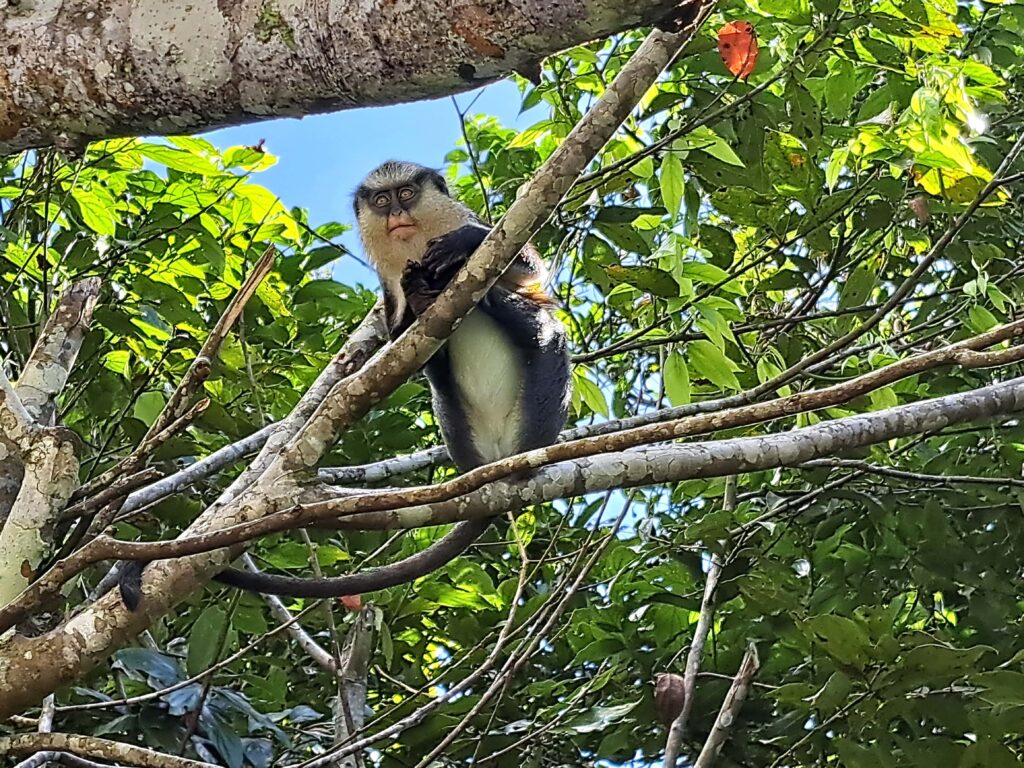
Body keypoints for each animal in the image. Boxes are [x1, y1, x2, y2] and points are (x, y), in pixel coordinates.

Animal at [118, 160, 571, 609]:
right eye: (382, 200)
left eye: (407, 194)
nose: (396, 214)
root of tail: (492, 468)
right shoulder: (389, 283)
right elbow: (404, 338)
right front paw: (417, 295)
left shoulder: (484, 229)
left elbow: (526, 269)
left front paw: (462, 245)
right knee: (441, 368)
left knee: (538, 328)